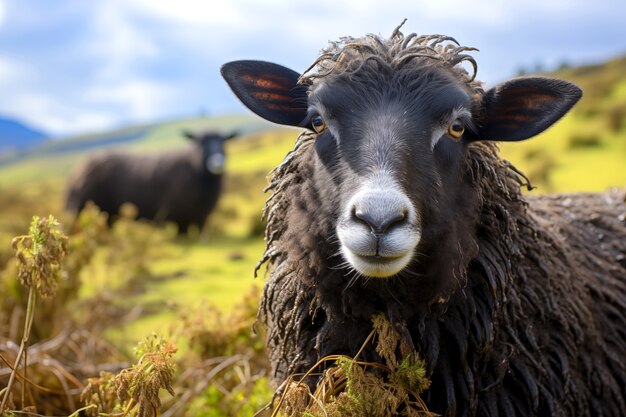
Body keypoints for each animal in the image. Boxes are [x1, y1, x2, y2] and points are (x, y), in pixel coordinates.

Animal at [65, 130, 236, 234]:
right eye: (200, 142)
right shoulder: (179, 218)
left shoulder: (200, 218)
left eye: (223, 141)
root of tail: (78, 169)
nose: (217, 162)